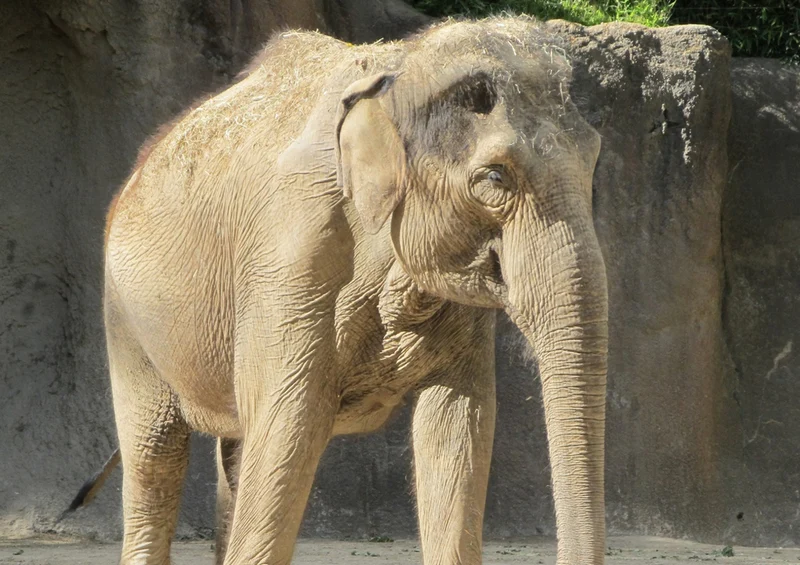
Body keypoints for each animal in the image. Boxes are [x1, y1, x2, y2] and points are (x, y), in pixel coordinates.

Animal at [100, 15, 608, 565]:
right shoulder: (290, 254)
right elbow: (288, 429)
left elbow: (458, 424)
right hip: (125, 314)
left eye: (594, 165)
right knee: (155, 453)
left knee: (231, 450)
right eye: (494, 177)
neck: (398, 72)